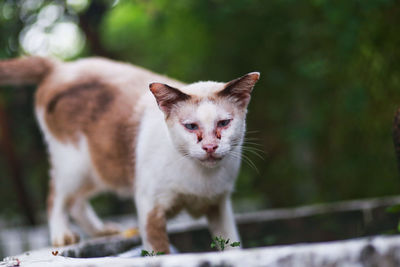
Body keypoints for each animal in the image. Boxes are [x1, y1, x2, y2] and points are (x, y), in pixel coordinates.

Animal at [0, 56, 260, 253]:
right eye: (191, 127)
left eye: (224, 123)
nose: (210, 147)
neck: (202, 180)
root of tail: (60, 66)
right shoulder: (150, 207)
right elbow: (160, 252)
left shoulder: (219, 206)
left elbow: (232, 246)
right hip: (75, 166)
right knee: (56, 196)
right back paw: (63, 236)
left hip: (100, 169)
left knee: (76, 202)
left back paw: (102, 231)